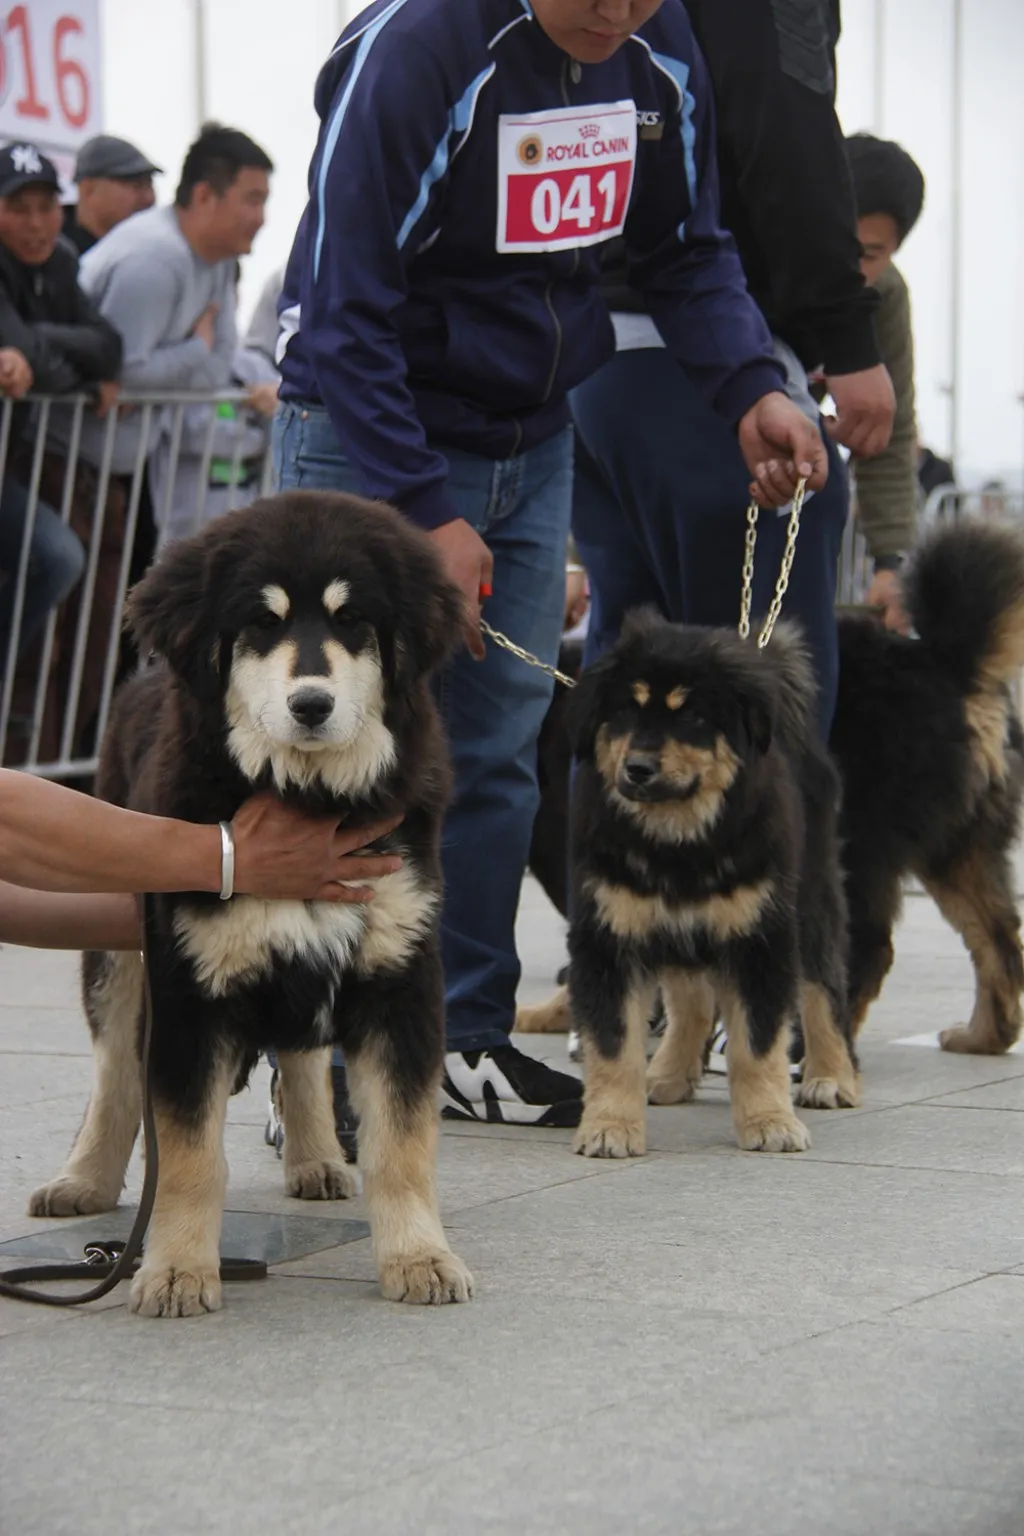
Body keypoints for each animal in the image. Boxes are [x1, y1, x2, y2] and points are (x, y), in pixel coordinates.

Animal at [30, 491, 475, 1320]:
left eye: (352, 619)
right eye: (261, 624)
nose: (311, 704)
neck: (306, 795)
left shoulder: (399, 974)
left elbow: (402, 1143)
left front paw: (420, 1257)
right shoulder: (189, 991)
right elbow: (188, 1151)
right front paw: (175, 1269)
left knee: (301, 1056)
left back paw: (317, 1158)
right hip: (120, 953)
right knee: (113, 1075)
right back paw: (84, 1179)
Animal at [568, 608, 859, 1155]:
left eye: (692, 717)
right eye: (627, 710)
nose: (637, 769)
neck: (678, 843)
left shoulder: (759, 936)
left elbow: (757, 1044)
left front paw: (770, 1121)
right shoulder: (611, 934)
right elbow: (614, 1047)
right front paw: (609, 1126)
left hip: (809, 898)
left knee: (823, 988)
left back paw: (832, 1076)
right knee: (692, 1000)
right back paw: (669, 1073)